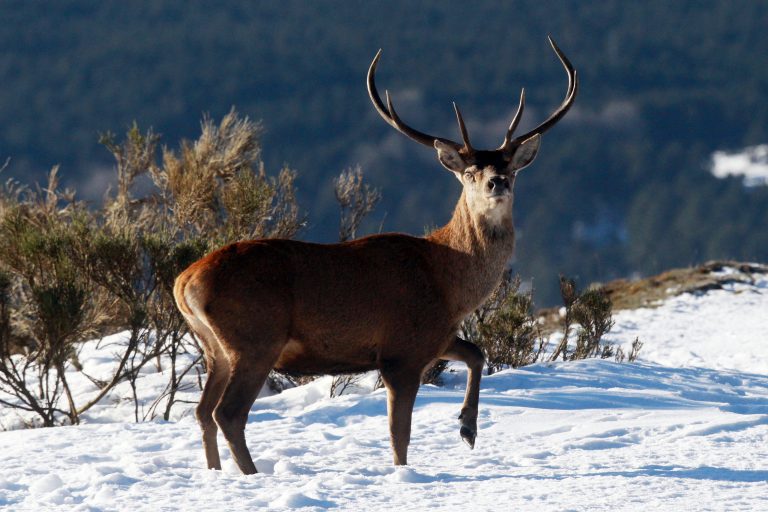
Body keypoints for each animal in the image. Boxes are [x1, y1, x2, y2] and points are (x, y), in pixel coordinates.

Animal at [174, 37, 580, 476]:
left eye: (511, 167)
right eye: (470, 173)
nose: (497, 182)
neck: (447, 280)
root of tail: (183, 282)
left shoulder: (432, 337)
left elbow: (477, 352)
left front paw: (467, 428)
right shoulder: (402, 349)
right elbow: (398, 432)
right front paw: (405, 473)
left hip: (214, 347)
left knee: (202, 411)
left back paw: (216, 473)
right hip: (254, 338)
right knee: (228, 413)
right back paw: (252, 475)